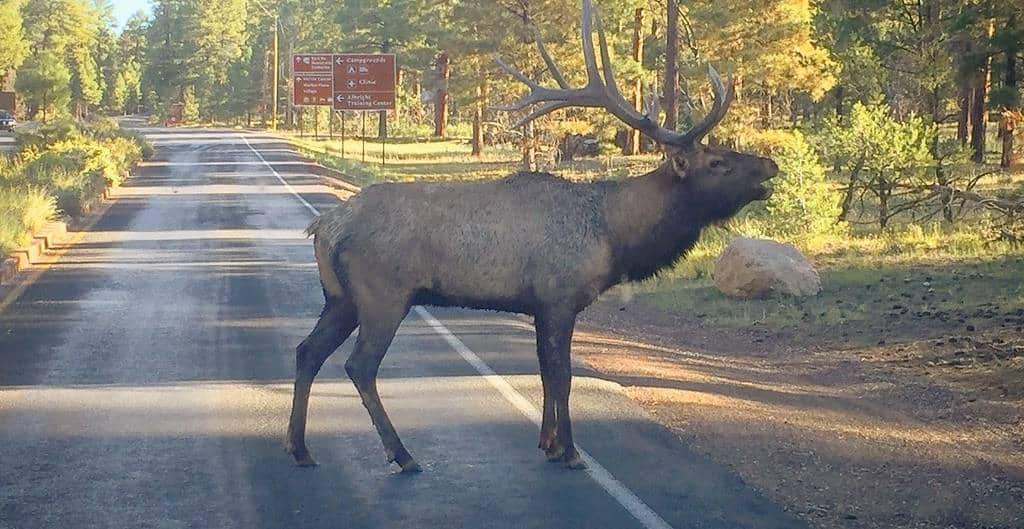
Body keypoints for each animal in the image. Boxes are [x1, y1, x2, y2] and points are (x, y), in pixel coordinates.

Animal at [286, 0, 774, 470]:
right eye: (717, 161)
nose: (770, 164)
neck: (615, 235)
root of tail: (324, 227)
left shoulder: (539, 305)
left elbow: (544, 373)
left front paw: (548, 443)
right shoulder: (560, 297)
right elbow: (563, 375)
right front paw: (571, 451)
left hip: (340, 298)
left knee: (307, 351)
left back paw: (300, 448)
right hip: (383, 295)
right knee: (359, 366)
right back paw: (401, 455)